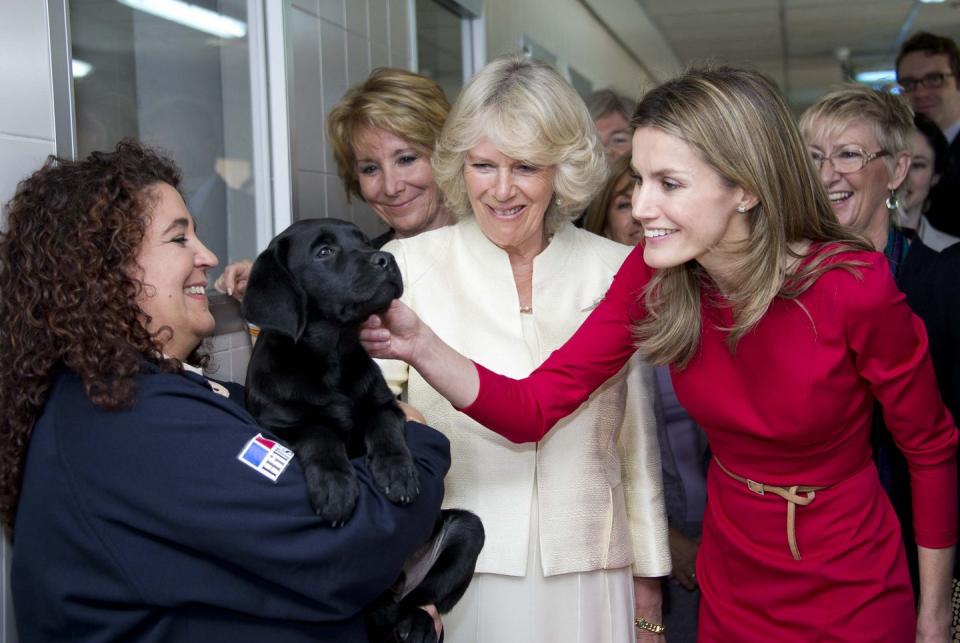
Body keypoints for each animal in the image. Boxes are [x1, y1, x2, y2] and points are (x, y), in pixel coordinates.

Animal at [238, 219, 480, 640]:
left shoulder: (385, 404)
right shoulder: (278, 421)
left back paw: (415, 623)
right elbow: (320, 433)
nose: (385, 259)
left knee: (420, 599)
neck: (333, 355)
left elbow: (385, 431)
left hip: (466, 531)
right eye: (324, 252)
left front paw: (398, 475)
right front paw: (336, 488)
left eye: (364, 242)